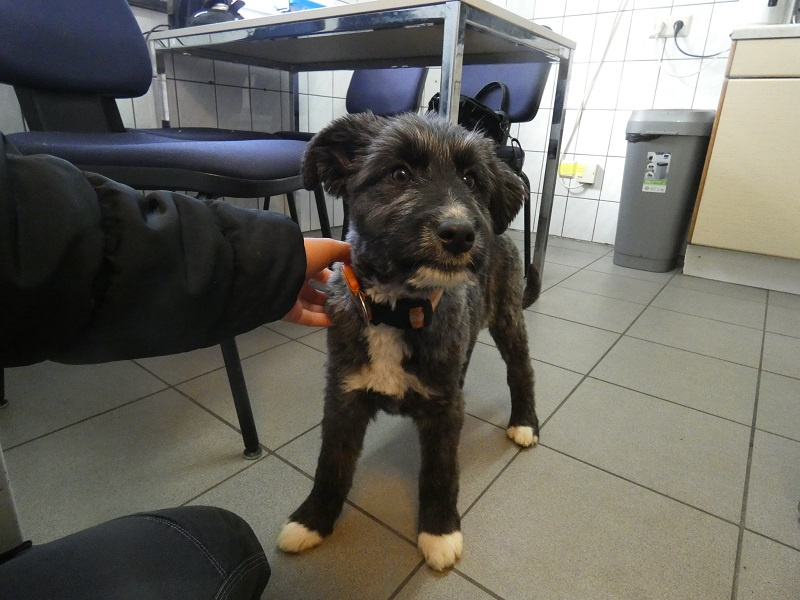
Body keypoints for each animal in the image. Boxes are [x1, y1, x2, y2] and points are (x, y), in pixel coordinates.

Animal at [277, 112, 540, 571]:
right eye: (398, 173)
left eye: (472, 179)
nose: (460, 233)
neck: (396, 309)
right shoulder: (343, 397)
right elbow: (332, 464)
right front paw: (312, 520)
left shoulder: (442, 412)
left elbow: (439, 472)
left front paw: (439, 531)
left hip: (508, 316)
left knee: (521, 370)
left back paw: (524, 422)